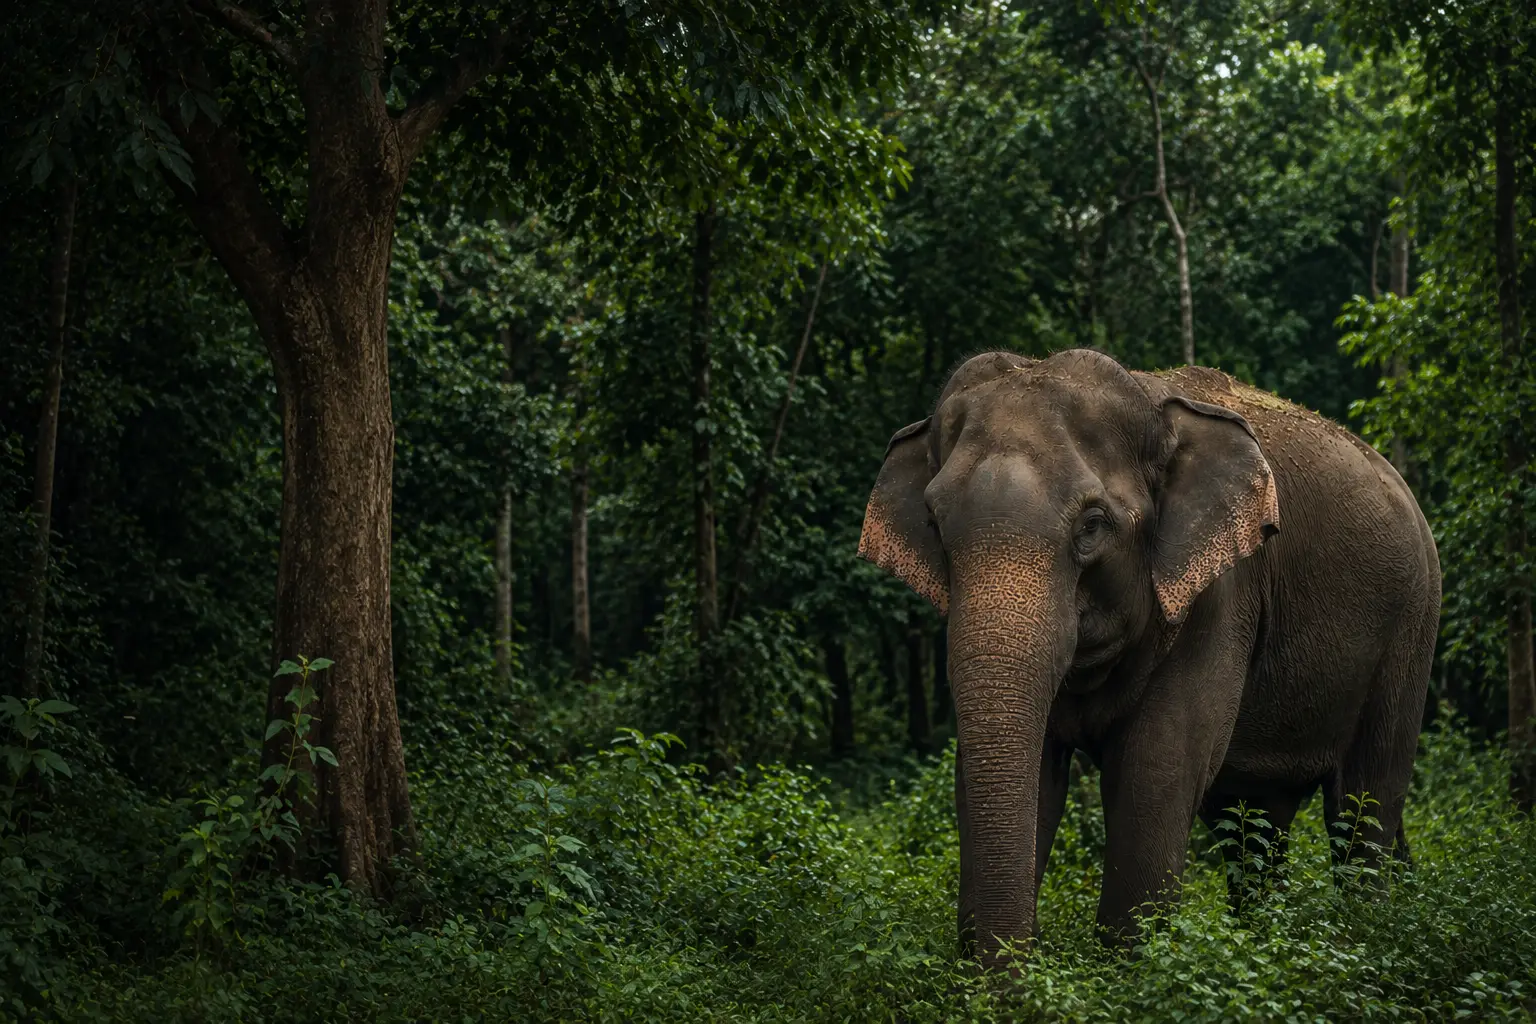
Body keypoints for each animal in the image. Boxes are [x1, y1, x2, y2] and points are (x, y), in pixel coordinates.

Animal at [857, 348, 1440, 968]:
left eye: (1092, 525)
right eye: (934, 525)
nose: (1020, 969)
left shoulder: (1221, 594)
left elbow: (1156, 768)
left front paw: (1130, 968)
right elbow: (1027, 772)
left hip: (1411, 628)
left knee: (1363, 804)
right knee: (1254, 823)